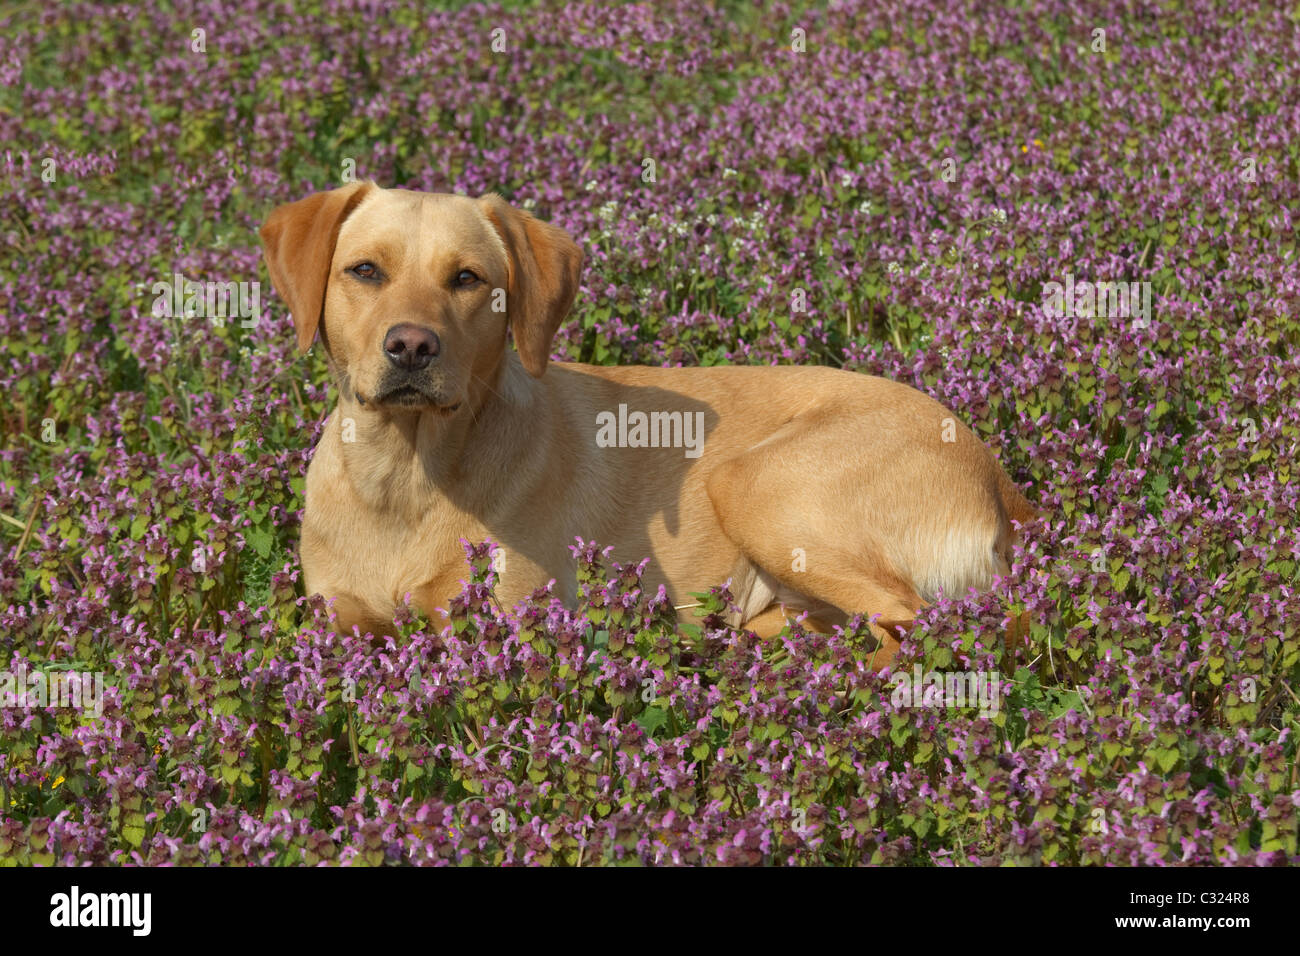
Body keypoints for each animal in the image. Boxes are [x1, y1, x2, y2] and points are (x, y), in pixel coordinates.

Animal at [261, 180, 1034, 665]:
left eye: (468, 279)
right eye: (365, 271)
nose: (413, 347)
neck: (402, 478)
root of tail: (999, 477)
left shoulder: (499, 622)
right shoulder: (338, 616)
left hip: (759, 485)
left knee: (929, 629)